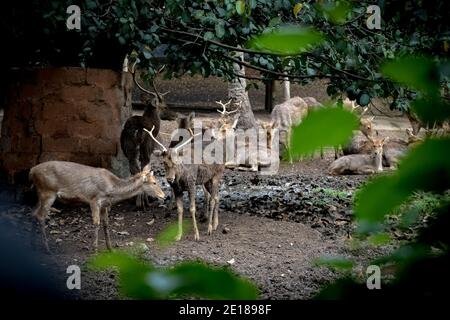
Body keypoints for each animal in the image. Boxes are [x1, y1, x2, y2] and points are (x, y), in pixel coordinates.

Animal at [28, 160, 165, 252]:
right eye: (154, 182)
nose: (163, 196)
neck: (112, 190)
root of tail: (31, 171)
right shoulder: (94, 199)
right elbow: (96, 223)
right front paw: (94, 250)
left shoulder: (104, 204)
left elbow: (106, 224)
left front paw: (110, 249)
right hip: (48, 191)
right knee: (41, 216)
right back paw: (47, 249)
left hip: (41, 193)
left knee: (33, 213)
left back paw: (33, 246)